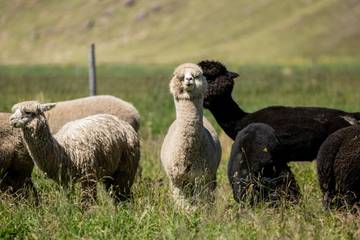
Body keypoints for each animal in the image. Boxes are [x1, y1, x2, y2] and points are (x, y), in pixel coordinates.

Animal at [161, 62, 222, 209]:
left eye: (197, 75)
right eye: (180, 76)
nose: (189, 80)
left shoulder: (202, 177)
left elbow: (202, 201)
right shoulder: (176, 180)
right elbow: (182, 204)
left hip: (210, 176)